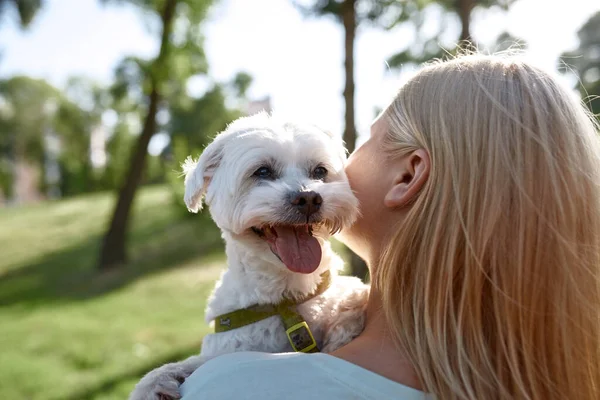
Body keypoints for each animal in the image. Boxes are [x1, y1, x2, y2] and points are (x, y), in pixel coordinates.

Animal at [129, 113, 368, 400]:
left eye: (320, 171)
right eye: (262, 171)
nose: (309, 198)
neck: (286, 299)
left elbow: (352, 300)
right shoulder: (230, 347)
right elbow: (194, 362)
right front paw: (155, 382)